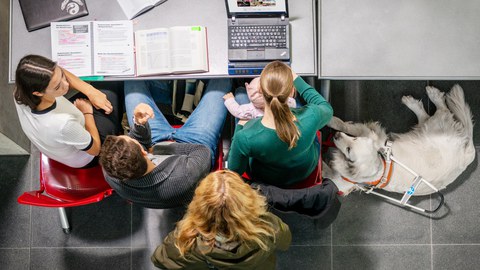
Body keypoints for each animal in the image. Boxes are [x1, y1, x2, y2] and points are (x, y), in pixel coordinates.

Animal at [324, 84, 474, 196]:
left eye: (349, 150)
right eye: (353, 139)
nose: (336, 136)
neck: (381, 165)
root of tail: (468, 153)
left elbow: (344, 125)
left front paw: (330, 121)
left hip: (434, 127)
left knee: (443, 110)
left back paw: (433, 96)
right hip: (423, 130)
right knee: (424, 116)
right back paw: (413, 102)